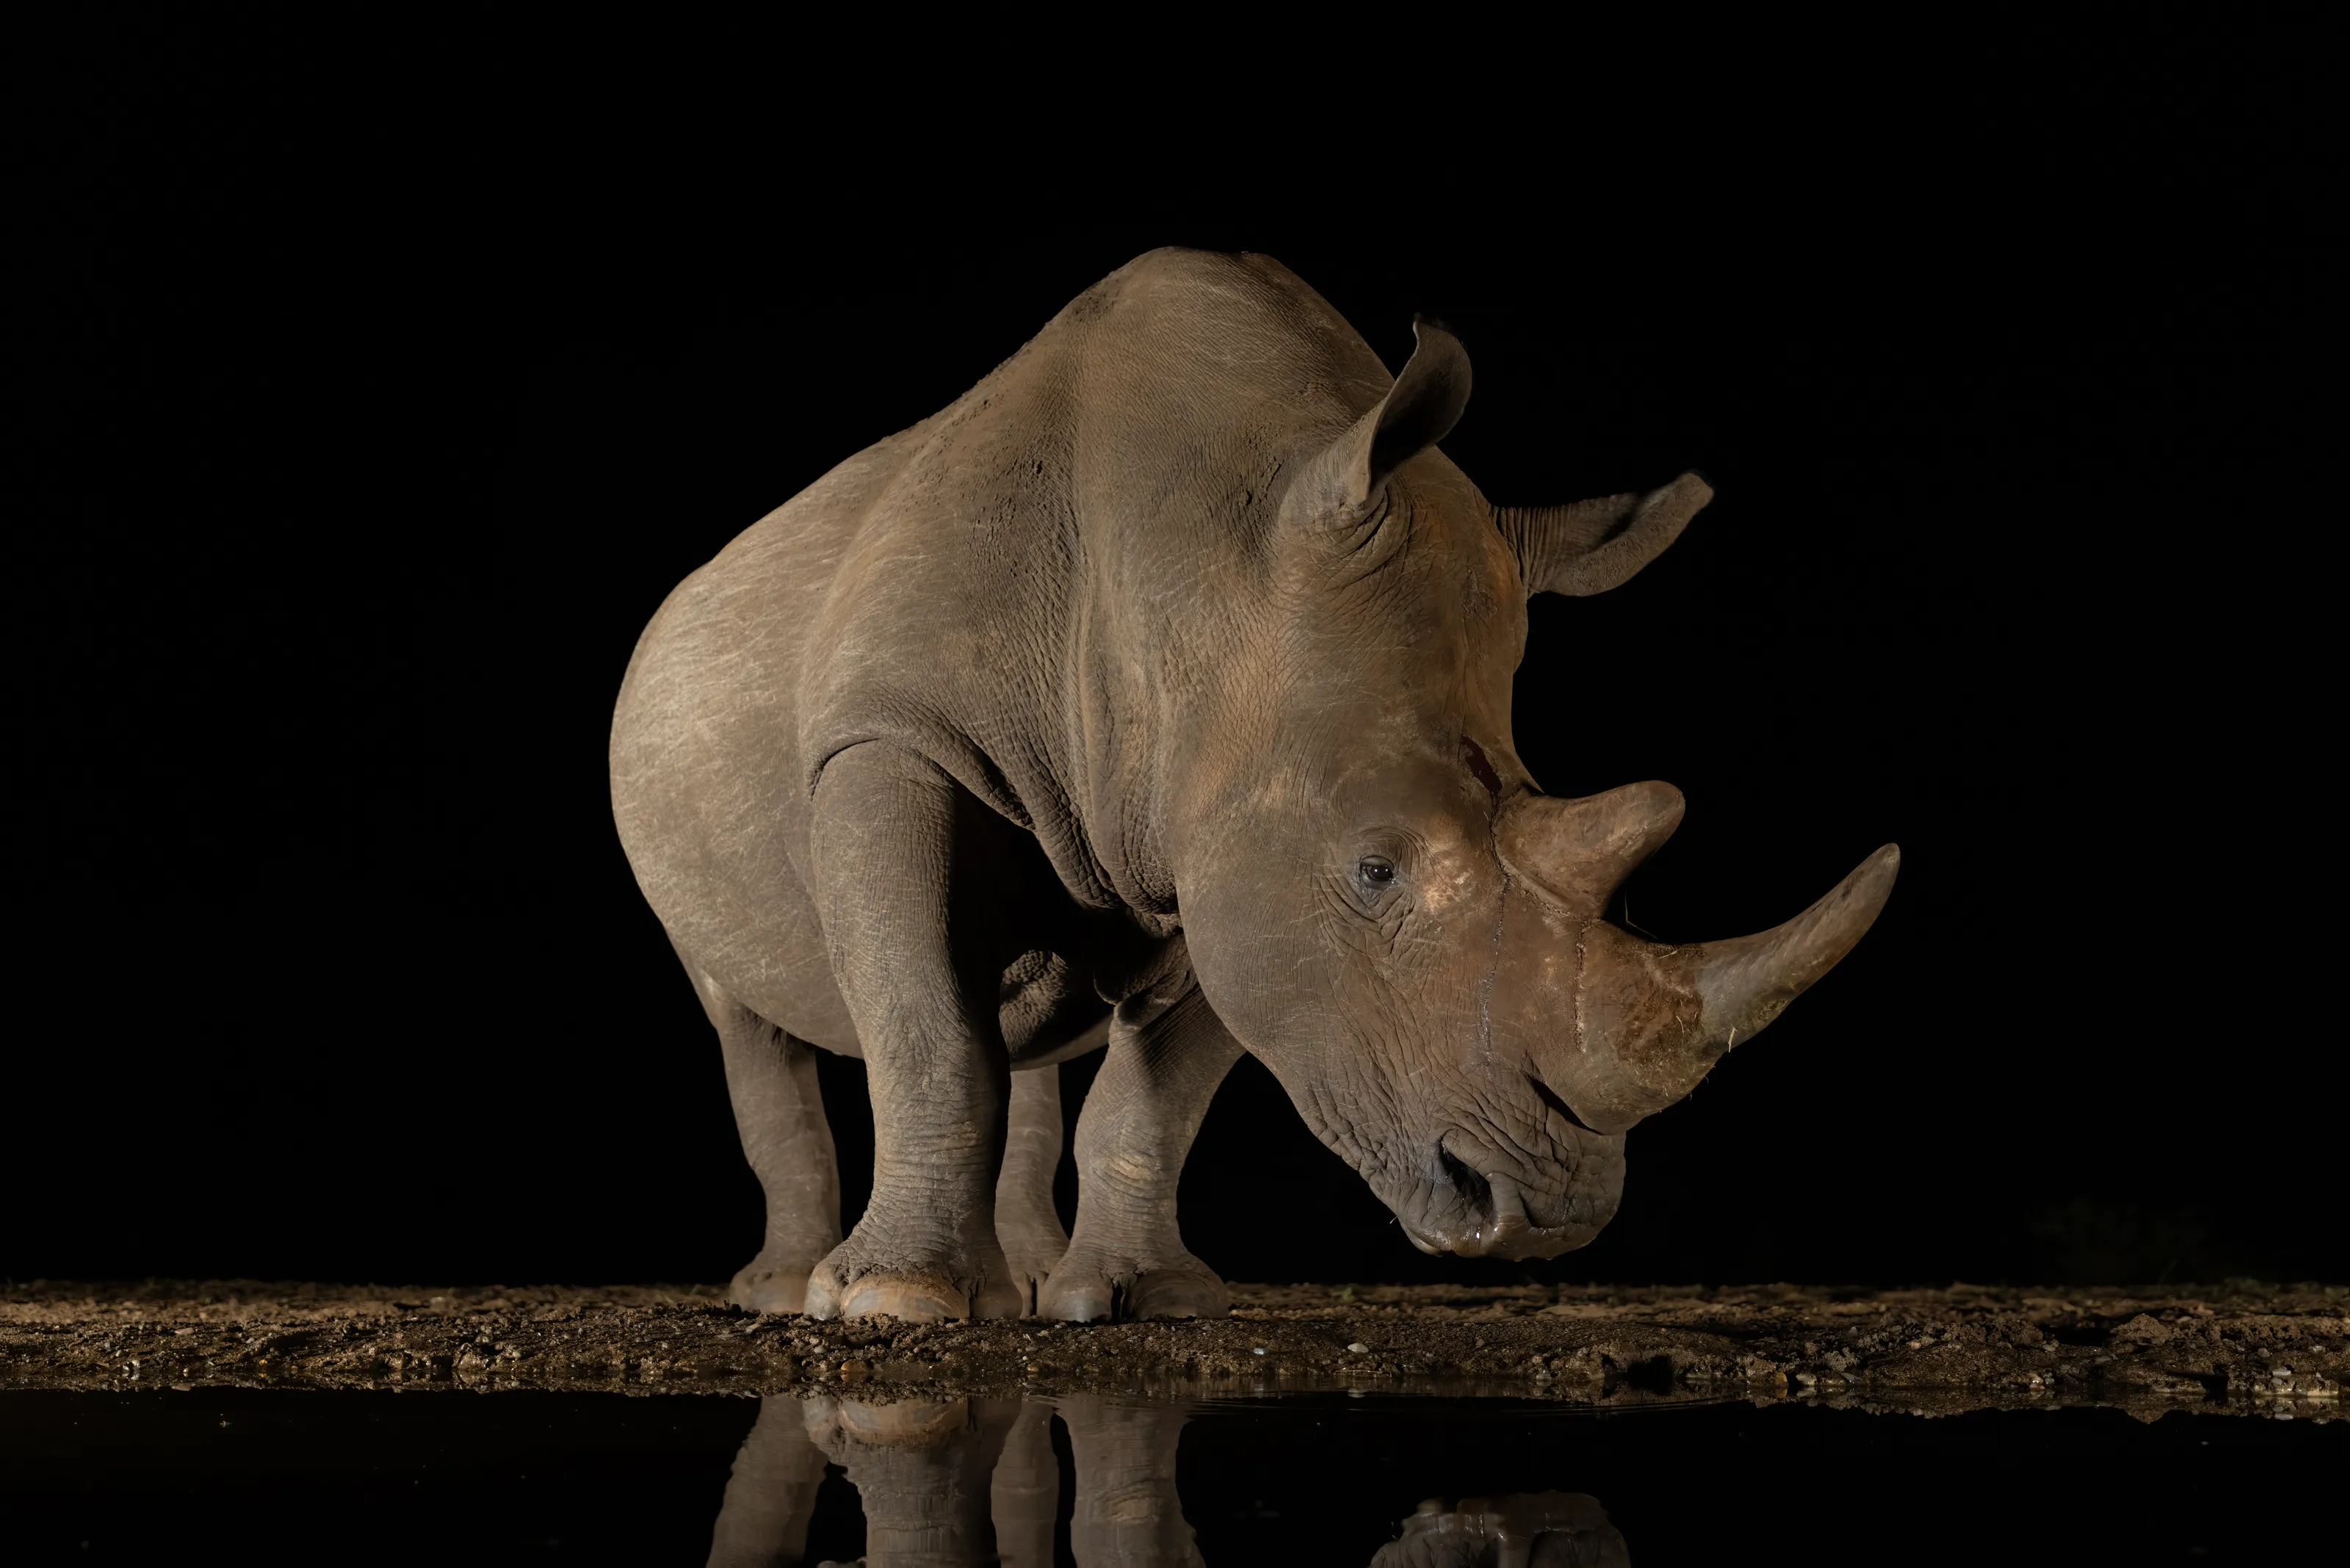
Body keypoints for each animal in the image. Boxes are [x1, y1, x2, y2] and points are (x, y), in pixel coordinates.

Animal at [610, 247, 1897, 1323]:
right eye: (1375, 869)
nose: (1545, 1215)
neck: (1198, 570)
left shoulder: (1223, 844)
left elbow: (1159, 1091)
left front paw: (1143, 1299)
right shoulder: (894, 738)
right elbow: (927, 1029)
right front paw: (895, 1303)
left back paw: (1026, 1279)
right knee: (741, 1009)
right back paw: (790, 1291)